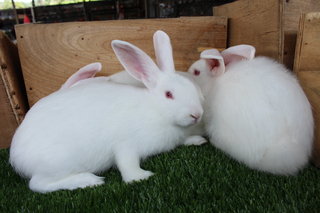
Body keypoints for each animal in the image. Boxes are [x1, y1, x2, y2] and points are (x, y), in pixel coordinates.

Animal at [10, 31, 205, 193]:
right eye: (169, 94)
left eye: (191, 87)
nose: (197, 114)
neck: (156, 110)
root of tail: (15, 156)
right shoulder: (125, 144)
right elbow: (127, 164)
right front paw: (141, 177)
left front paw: (198, 140)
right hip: (57, 164)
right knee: (37, 184)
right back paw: (88, 180)